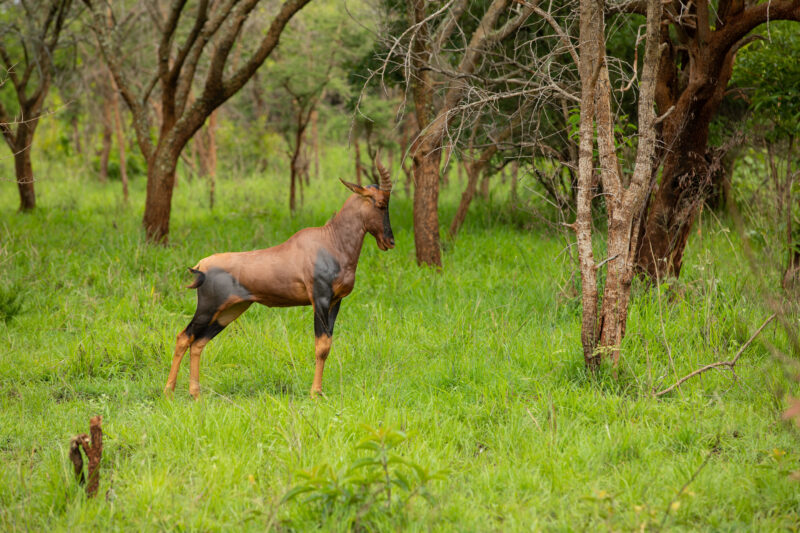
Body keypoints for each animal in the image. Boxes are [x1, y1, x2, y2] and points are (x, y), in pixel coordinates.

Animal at [164, 158, 394, 399]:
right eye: (380, 203)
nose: (390, 241)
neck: (331, 241)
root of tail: (202, 265)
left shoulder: (335, 302)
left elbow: (328, 345)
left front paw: (319, 391)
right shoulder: (320, 300)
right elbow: (321, 346)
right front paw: (315, 393)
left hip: (229, 312)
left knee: (198, 342)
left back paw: (195, 394)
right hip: (208, 309)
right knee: (184, 337)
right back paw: (169, 391)